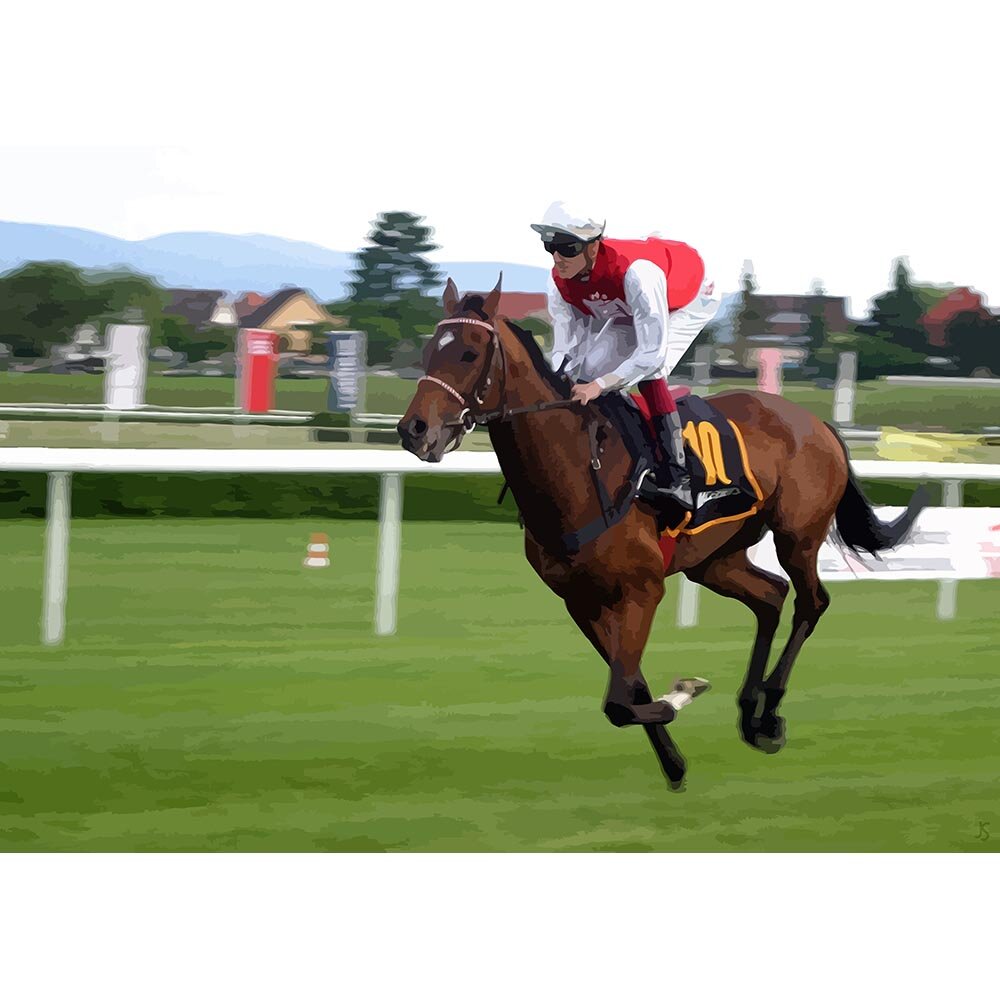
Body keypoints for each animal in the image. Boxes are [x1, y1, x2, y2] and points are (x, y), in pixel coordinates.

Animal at [397, 277, 925, 790]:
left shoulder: (642, 589)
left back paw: (770, 714)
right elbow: (630, 689)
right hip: (714, 559)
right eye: (428, 350)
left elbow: (620, 701)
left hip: (798, 535)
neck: (579, 471)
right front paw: (673, 761)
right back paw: (750, 712)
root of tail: (819, 423)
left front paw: (684, 693)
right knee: (770, 597)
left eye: (469, 353)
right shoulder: (580, 600)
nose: (413, 429)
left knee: (810, 602)